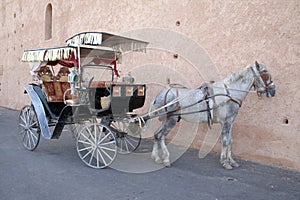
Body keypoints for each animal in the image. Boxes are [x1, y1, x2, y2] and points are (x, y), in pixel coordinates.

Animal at [148, 61, 276, 169]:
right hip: (172, 119)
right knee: (161, 136)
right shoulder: (226, 122)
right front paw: (225, 162)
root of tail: (160, 95)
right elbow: (225, 141)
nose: (273, 90)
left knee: (157, 134)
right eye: (265, 72)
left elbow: (230, 140)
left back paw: (157, 157)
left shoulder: (231, 122)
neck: (230, 93)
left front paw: (232, 161)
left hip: (166, 119)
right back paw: (166, 159)